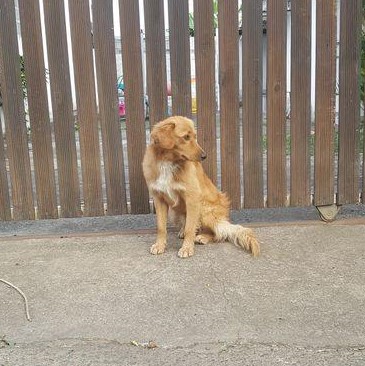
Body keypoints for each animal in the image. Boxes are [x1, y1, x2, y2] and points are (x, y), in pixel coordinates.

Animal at [142, 116, 258, 258]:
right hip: (174, 213)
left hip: (204, 207)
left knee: (218, 233)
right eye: (186, 137)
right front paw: (160, 245)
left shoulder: (192, 198)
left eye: (194, 136)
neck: (168, 162)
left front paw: (187, 248)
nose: (204, 156)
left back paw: (202, 237)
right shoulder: (159, 199)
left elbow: (190, 228)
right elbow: (161, 227)